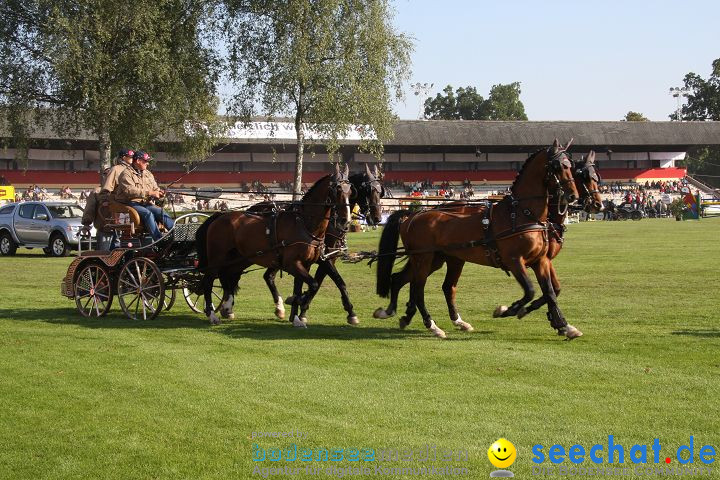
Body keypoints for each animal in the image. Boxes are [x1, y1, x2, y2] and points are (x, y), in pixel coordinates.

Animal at [195, 165, 352, 326]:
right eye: (338, 190)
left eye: (351, 191)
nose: (345, 222)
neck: (304, 224)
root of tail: (219, 215)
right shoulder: (292, 264)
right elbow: (313, 284)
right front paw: (297, 302)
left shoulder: (308, 263)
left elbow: (305, 286)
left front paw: (296, 315)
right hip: (217, 257)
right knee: (209, 280)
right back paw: (212, 314)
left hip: (238, 258)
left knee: (227, 274)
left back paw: (227, 307)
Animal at [258, 163, 382, 324]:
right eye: (368, 190)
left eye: (380, 191)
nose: (378, 218)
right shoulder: (323, 259)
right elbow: (328, 282)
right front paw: (301, 308)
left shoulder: (326, 258)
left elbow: (321, 282)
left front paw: (299, 308)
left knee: (268, 276)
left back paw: (281, 308)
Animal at [374, 141, 584, 340]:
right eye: (557, 166)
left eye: (570, 166)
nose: (574, 196)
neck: (522, 214)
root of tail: (412, 214)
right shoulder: (515, 260)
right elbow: (531, 290)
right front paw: (507, 310)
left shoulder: (540, 261)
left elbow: (550, 292)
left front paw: (564, 325)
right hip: (423, 258)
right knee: (418, 289)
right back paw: (432, 325)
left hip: (439, 259)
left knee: (411, 281)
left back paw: (399, 313)